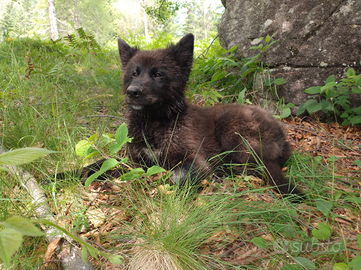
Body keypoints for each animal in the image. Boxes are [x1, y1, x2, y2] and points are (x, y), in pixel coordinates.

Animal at [116, 33, 302, 196]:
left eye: (158, 74)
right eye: (134, 73)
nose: (132, 92)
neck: (154, 122)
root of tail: (282, 137)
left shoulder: (194, 159)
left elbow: (178, 178)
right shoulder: (135, 160)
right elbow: (115, 167)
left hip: (229, 126)